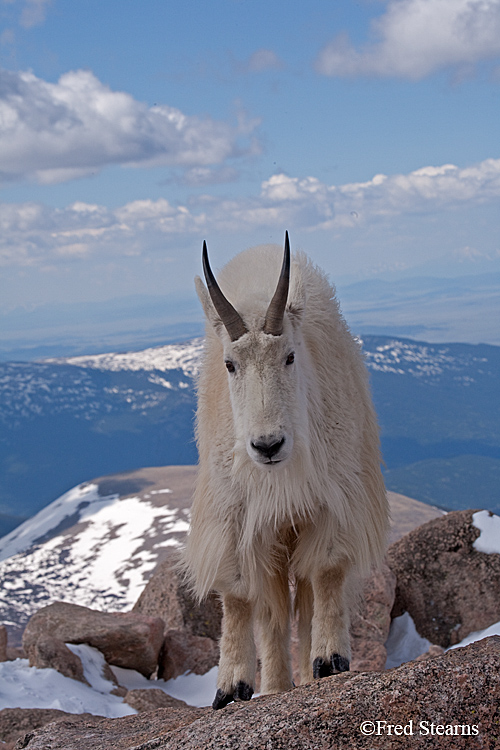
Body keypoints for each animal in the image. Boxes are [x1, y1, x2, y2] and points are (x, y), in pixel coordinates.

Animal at [182, 232, 389, 708]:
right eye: (230, 364)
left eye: (290, 357)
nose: (267, 446)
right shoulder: (236, 516)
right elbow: (240, 595)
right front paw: (231, 687)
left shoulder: (334, 500)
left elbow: (327, 572)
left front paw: (329, 659)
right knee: (272, 611)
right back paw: (276, 687)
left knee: (305, 596)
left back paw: (309, 677)